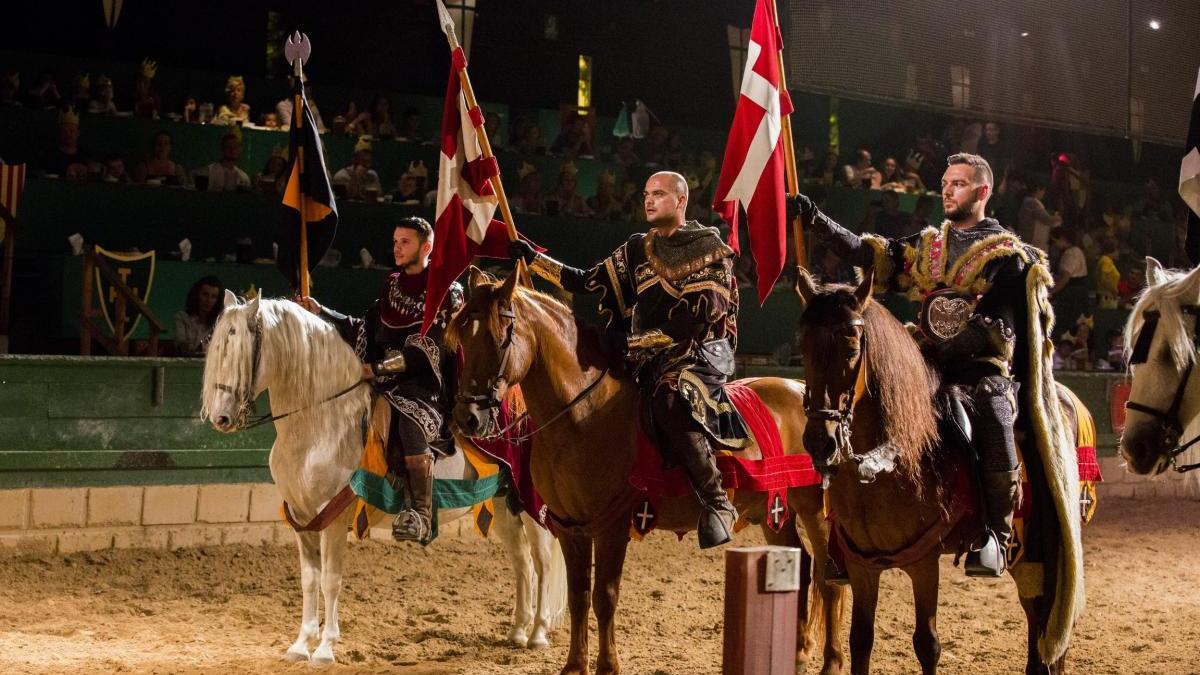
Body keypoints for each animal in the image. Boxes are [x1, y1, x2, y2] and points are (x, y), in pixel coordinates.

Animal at [200, 290, 566, 662]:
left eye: (240, 351)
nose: (220, 418)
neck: (321, 423)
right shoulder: (304, 520)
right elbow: (308, 581)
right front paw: (301, 644)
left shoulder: (333, 519)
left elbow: (330, 580)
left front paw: (325, 647)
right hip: (504, 503)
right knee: (521, 561)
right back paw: (517, 631)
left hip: (528, 504)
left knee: (542, 563)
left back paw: (538, 633)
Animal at [446, 266, 849, 672]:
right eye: (462, 336)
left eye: (499, 338)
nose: (468, 416)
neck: (581, 415)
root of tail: (800, 389)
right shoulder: (571, 528)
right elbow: (578, 596)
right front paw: (575, 664)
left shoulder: (611, 528)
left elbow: (604, 596)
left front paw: (608, 665)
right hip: (773, 512)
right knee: (802, 568)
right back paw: (797, 652)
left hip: (812, 509)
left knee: (827, 574)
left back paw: (831, 659)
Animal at [796, 267, 1089, 672]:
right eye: (804, 346)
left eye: (852, 346)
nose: (820, 441)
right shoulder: (861, 566)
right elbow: (862, 641)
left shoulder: (924, 563)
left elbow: (927, 644)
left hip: (1039, 550)